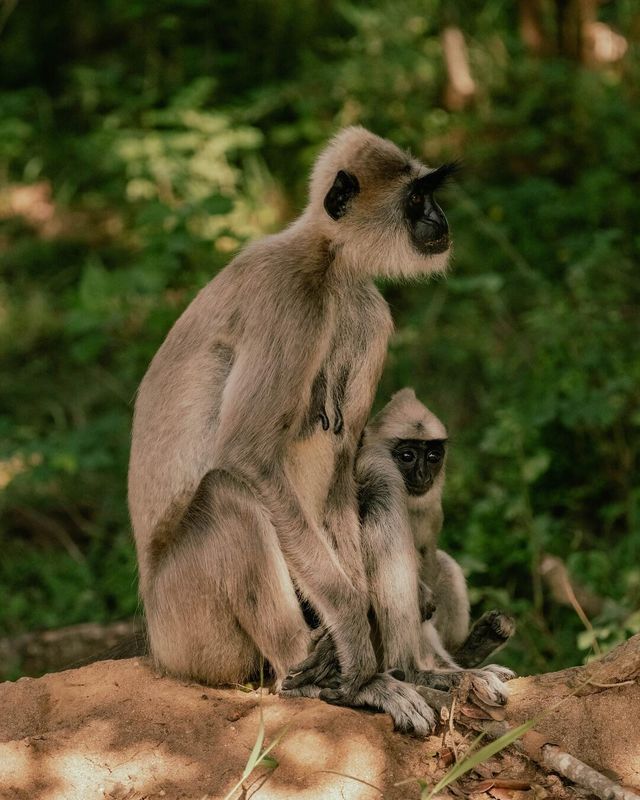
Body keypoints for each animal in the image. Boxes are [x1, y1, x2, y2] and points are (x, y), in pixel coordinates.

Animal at [127, 126, 456, 736]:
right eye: (416, 199)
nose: (438, 218)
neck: (329, 264)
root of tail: (156, 649)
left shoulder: (371, 313)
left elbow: (344, 470)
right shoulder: (289, 293)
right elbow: (246, 456)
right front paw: (359, 649)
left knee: (375, 487)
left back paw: (408, 670)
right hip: (189, 632)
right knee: (228, 492)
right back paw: (330, 679)